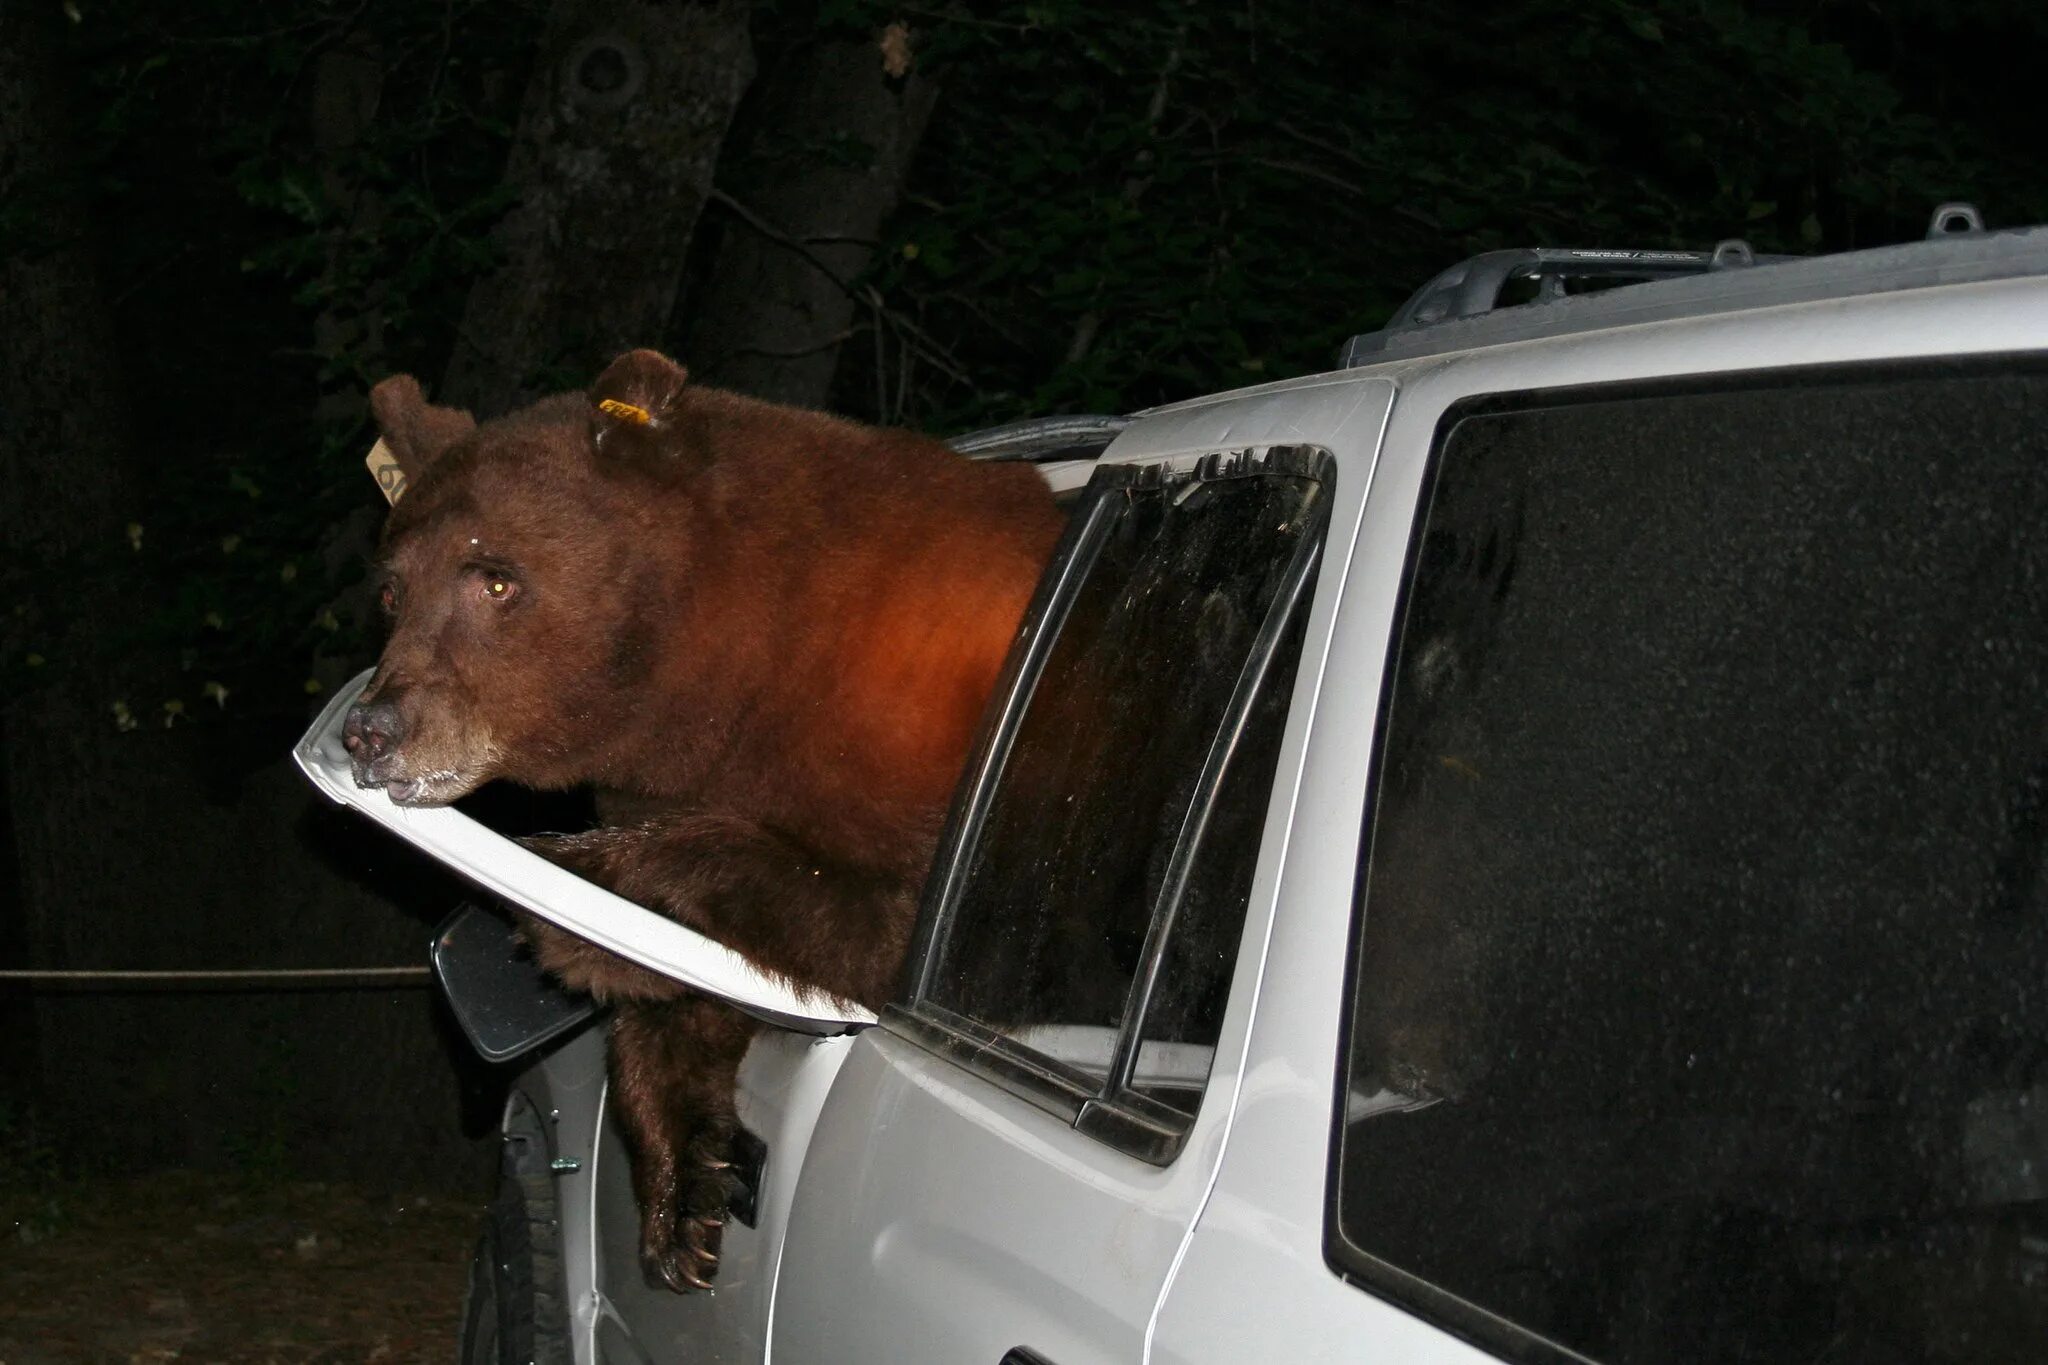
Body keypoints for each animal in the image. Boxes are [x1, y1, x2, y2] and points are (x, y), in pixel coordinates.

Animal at [344, 349, 1064, 1293]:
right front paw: (682, 1193)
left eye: (494, 577)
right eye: (393, 591)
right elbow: (690, 996)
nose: (372, 729)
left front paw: (579, 892)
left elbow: (902, 921)